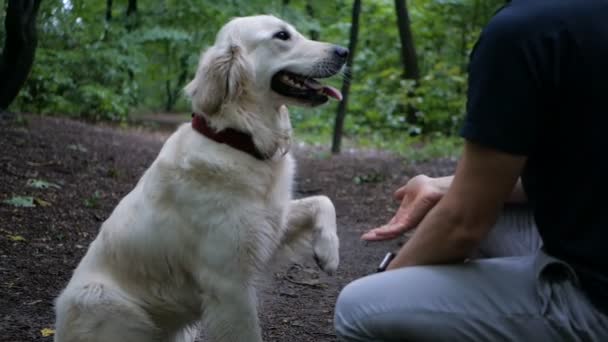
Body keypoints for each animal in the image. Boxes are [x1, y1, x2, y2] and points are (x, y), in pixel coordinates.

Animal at [54, 14, 350, 340]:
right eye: (282, 35)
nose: (344, 51)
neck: (238, 139)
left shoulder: (272, 222)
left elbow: (323, 200)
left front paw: (329, 251)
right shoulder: (229, 284)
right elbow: (248, 333)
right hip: (99, 298)